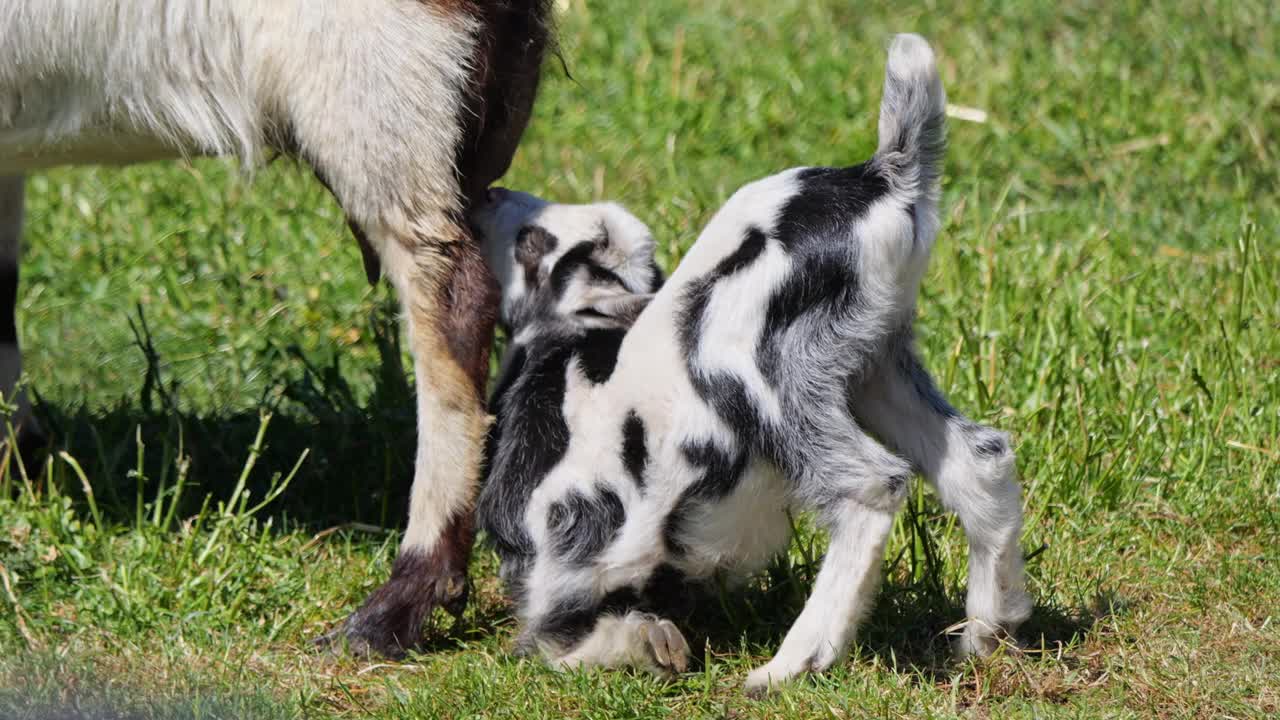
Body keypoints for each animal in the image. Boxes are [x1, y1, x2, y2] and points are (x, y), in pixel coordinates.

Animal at [471, 35, 1029, 691]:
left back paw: (795, 661)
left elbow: (553, 633)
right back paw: (987, 630)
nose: (488, 195)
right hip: (874, 362)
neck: (574, 341)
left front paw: (637, 646)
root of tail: (878, 176)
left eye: (532, 244)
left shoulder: (554, 547)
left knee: (871, 486)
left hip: (750, 372)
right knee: (978, 458)